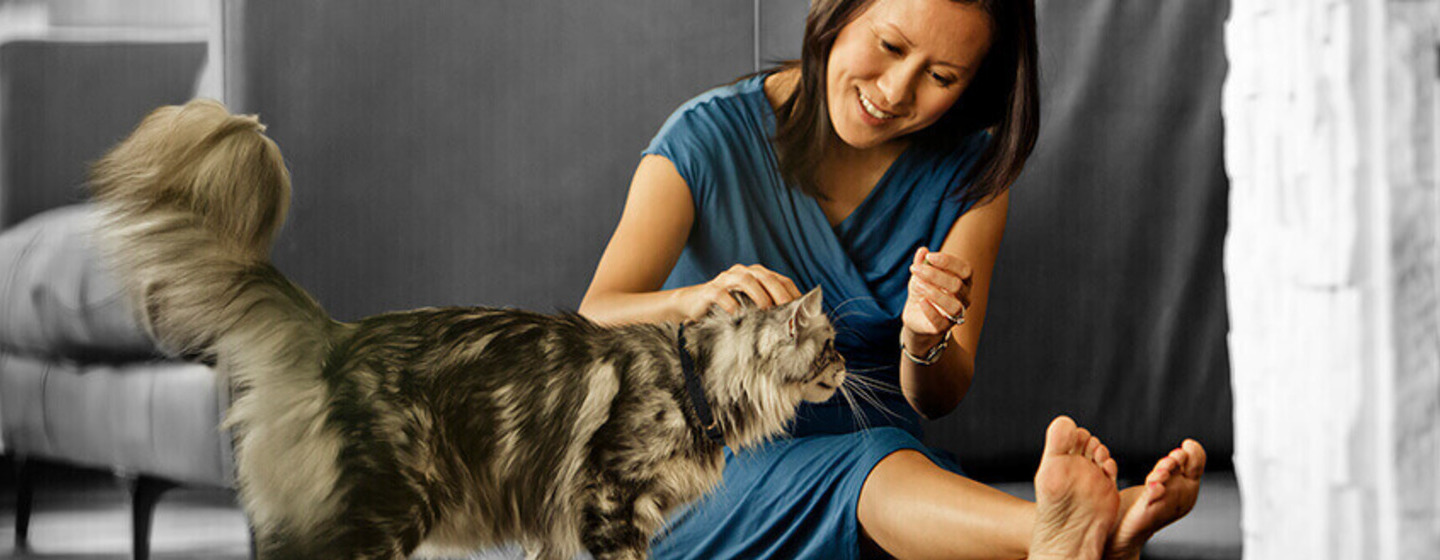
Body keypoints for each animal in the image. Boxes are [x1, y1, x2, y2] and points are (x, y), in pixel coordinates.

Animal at [87, 100, 840, 558]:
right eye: (830, 346)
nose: (845, 367)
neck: (698, 383)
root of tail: (333, 334)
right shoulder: (610, 503)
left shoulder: (557, 527)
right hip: (388, 510)